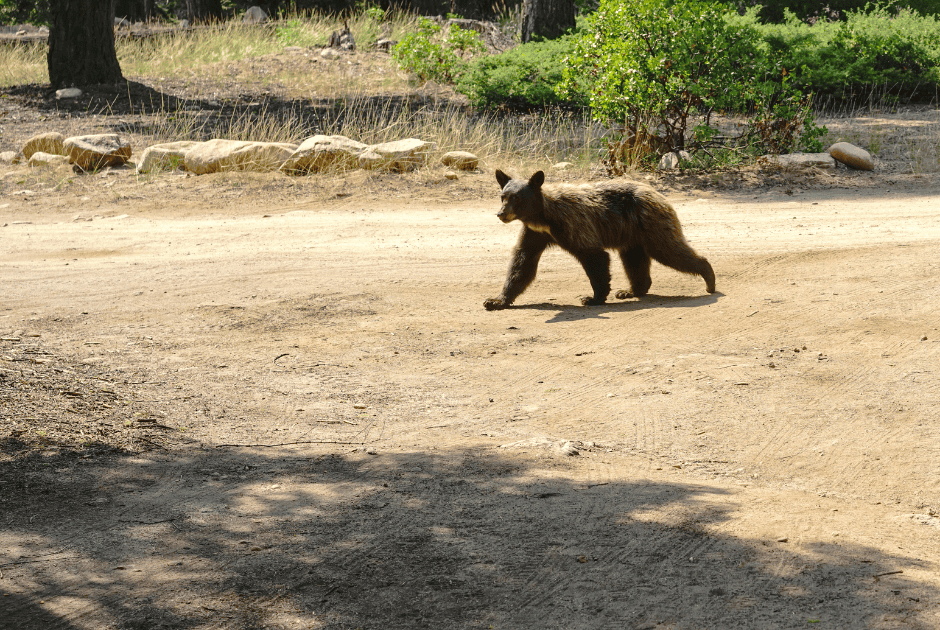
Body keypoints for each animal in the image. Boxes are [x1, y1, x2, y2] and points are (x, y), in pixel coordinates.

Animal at [484, 170, 712, 312]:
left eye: (517, 198)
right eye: (503, 196)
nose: (501, 214)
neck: (542, 217)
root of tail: (658, 193)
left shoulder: (572, 224)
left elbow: (594, 256)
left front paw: (592, 298)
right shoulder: (535, 233)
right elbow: (522, 262)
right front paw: (495, 300)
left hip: (650, 224)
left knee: (670, 250)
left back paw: (709, 279)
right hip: (632, 235)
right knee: (634, 260)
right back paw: (630, 291)